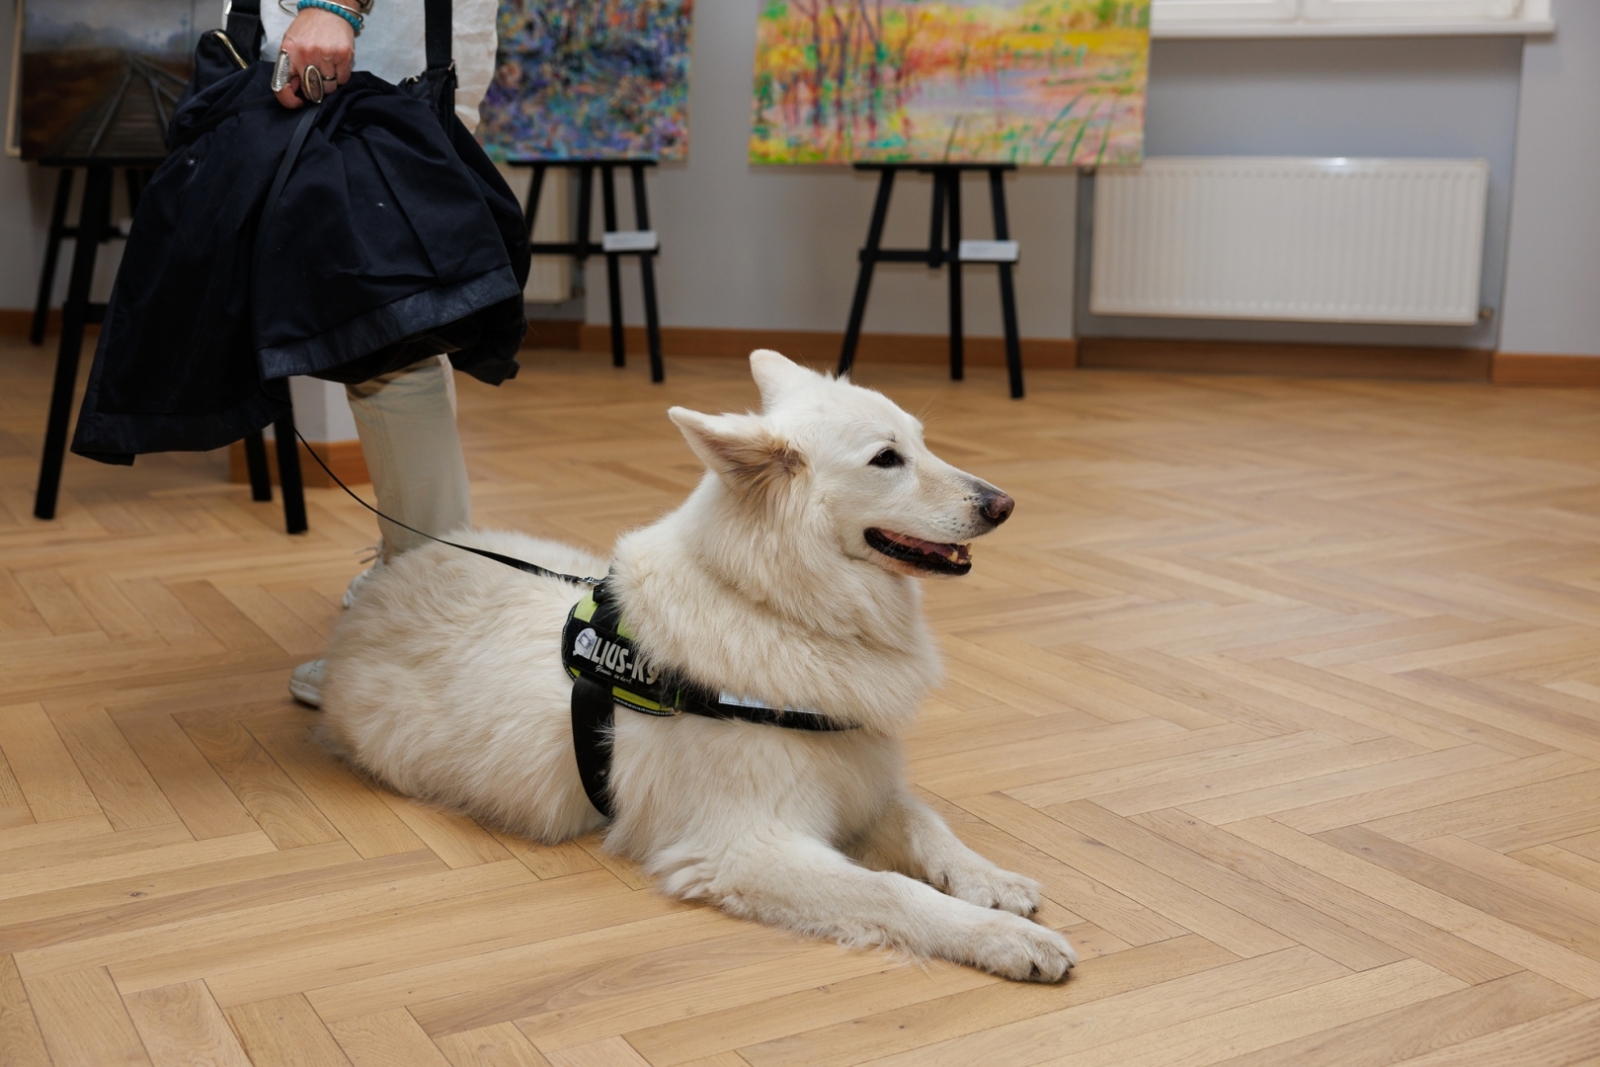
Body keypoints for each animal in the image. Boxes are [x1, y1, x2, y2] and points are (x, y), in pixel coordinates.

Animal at [315, 351, 1075, 985]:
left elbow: (928, 824)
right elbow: (892, 887)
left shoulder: (859, 773)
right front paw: (1003, 937)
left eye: (920, 441)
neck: (777, 608)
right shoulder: (748, 847)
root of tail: (389, 577)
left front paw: (990, 879)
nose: (1003, 504)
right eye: (887, 459)